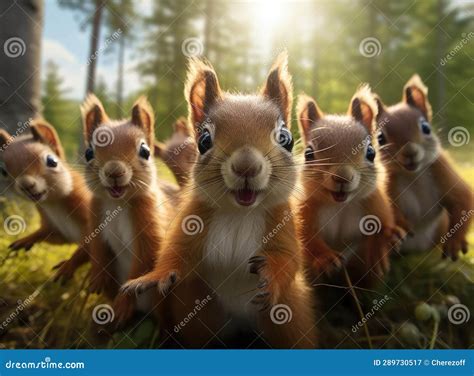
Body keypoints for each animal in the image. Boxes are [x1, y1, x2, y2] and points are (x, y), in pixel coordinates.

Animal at [0, 120, 91, 282]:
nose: (26, 185)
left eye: (52, 161)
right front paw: (26, 239)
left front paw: (68, 265)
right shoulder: (54, 226)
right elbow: (52, 236)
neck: (53, 203)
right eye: (3, 171)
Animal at [81, 95, 180, 328]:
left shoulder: (151, 220)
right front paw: (96, 279)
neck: (117, 204)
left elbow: (146, 257)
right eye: (88, 152)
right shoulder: (95, 214)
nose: (114, 171)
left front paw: (123, 304)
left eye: (145, 151)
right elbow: (97, 248)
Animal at [120, 53, 316, 350]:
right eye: (204, 140)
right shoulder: (192, 218)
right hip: (199, 308)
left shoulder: (282, 222)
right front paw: (151, 277)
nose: (246, 167)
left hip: (291, 315)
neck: (239, 212)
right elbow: (174, 252)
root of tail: (241, 324)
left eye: (285, 138)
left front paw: (270, 279)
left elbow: (288, 258)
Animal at [296, 86, 404, 284]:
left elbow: (383, 225)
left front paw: (382, 249)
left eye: (371, 152)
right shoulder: (304, 210)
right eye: (308, 154)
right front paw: (326, 259)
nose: (342, 177)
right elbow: (307, 239)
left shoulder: (376, 203)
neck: (341, 206)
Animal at [374, 74, 470, 260]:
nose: (410, 152)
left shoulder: (443, 171)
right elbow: (385, 210)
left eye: (426, 127)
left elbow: (463, 200)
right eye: (380, 138)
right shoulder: (387, 184)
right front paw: (400, 226)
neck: (414, 175)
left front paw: (454, 242)